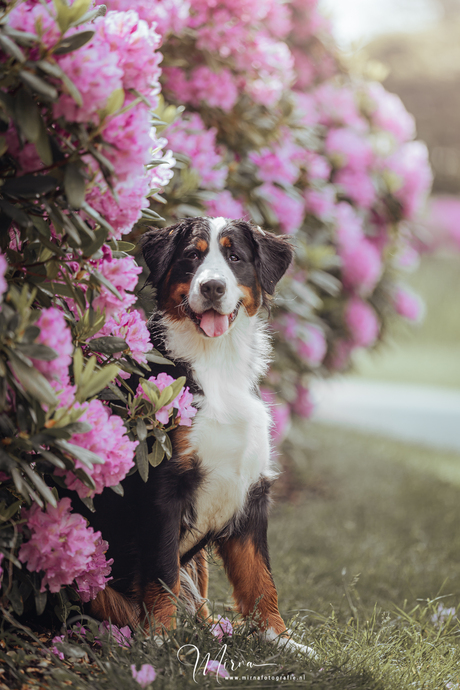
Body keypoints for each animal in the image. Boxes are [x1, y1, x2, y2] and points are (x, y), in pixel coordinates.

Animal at [83, 218, 312, 652]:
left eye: (234, 256)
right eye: (192, 255)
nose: (212, 288)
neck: (217, 363)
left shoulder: (252, 492)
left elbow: (261, 579)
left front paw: (280, 639)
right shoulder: (163, 487)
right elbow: (162, 573)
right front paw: (160, 638)